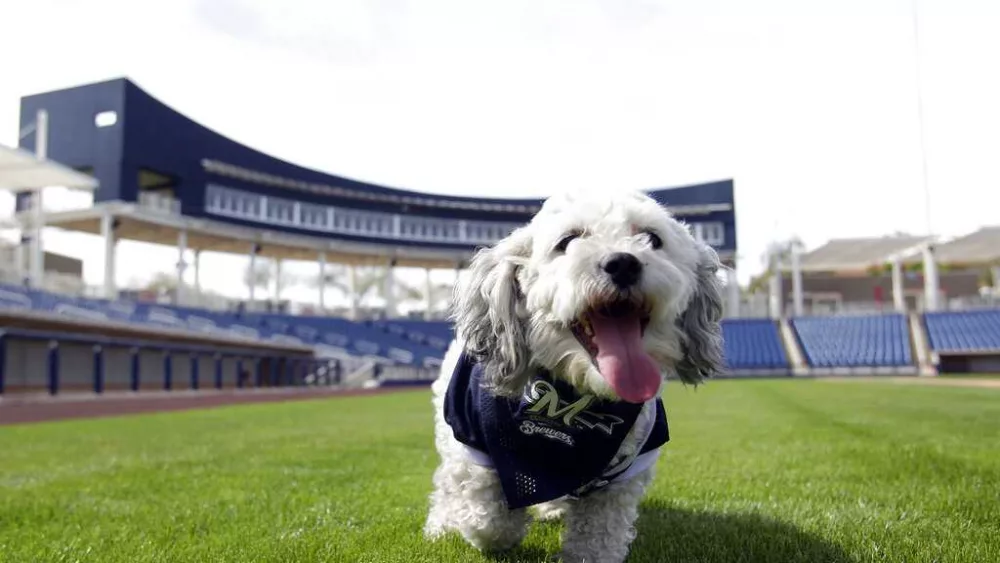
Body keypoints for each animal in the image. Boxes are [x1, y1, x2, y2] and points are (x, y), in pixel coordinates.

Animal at [424, 191, 728, 563]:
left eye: (652, 239)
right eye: (568, 241)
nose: (623, 263)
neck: (570, 402)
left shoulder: (624, 470)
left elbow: (597, 536)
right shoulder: (473, 443)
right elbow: (490, 520)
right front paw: (495, 525)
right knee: (447, 486)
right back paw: (441, 526)